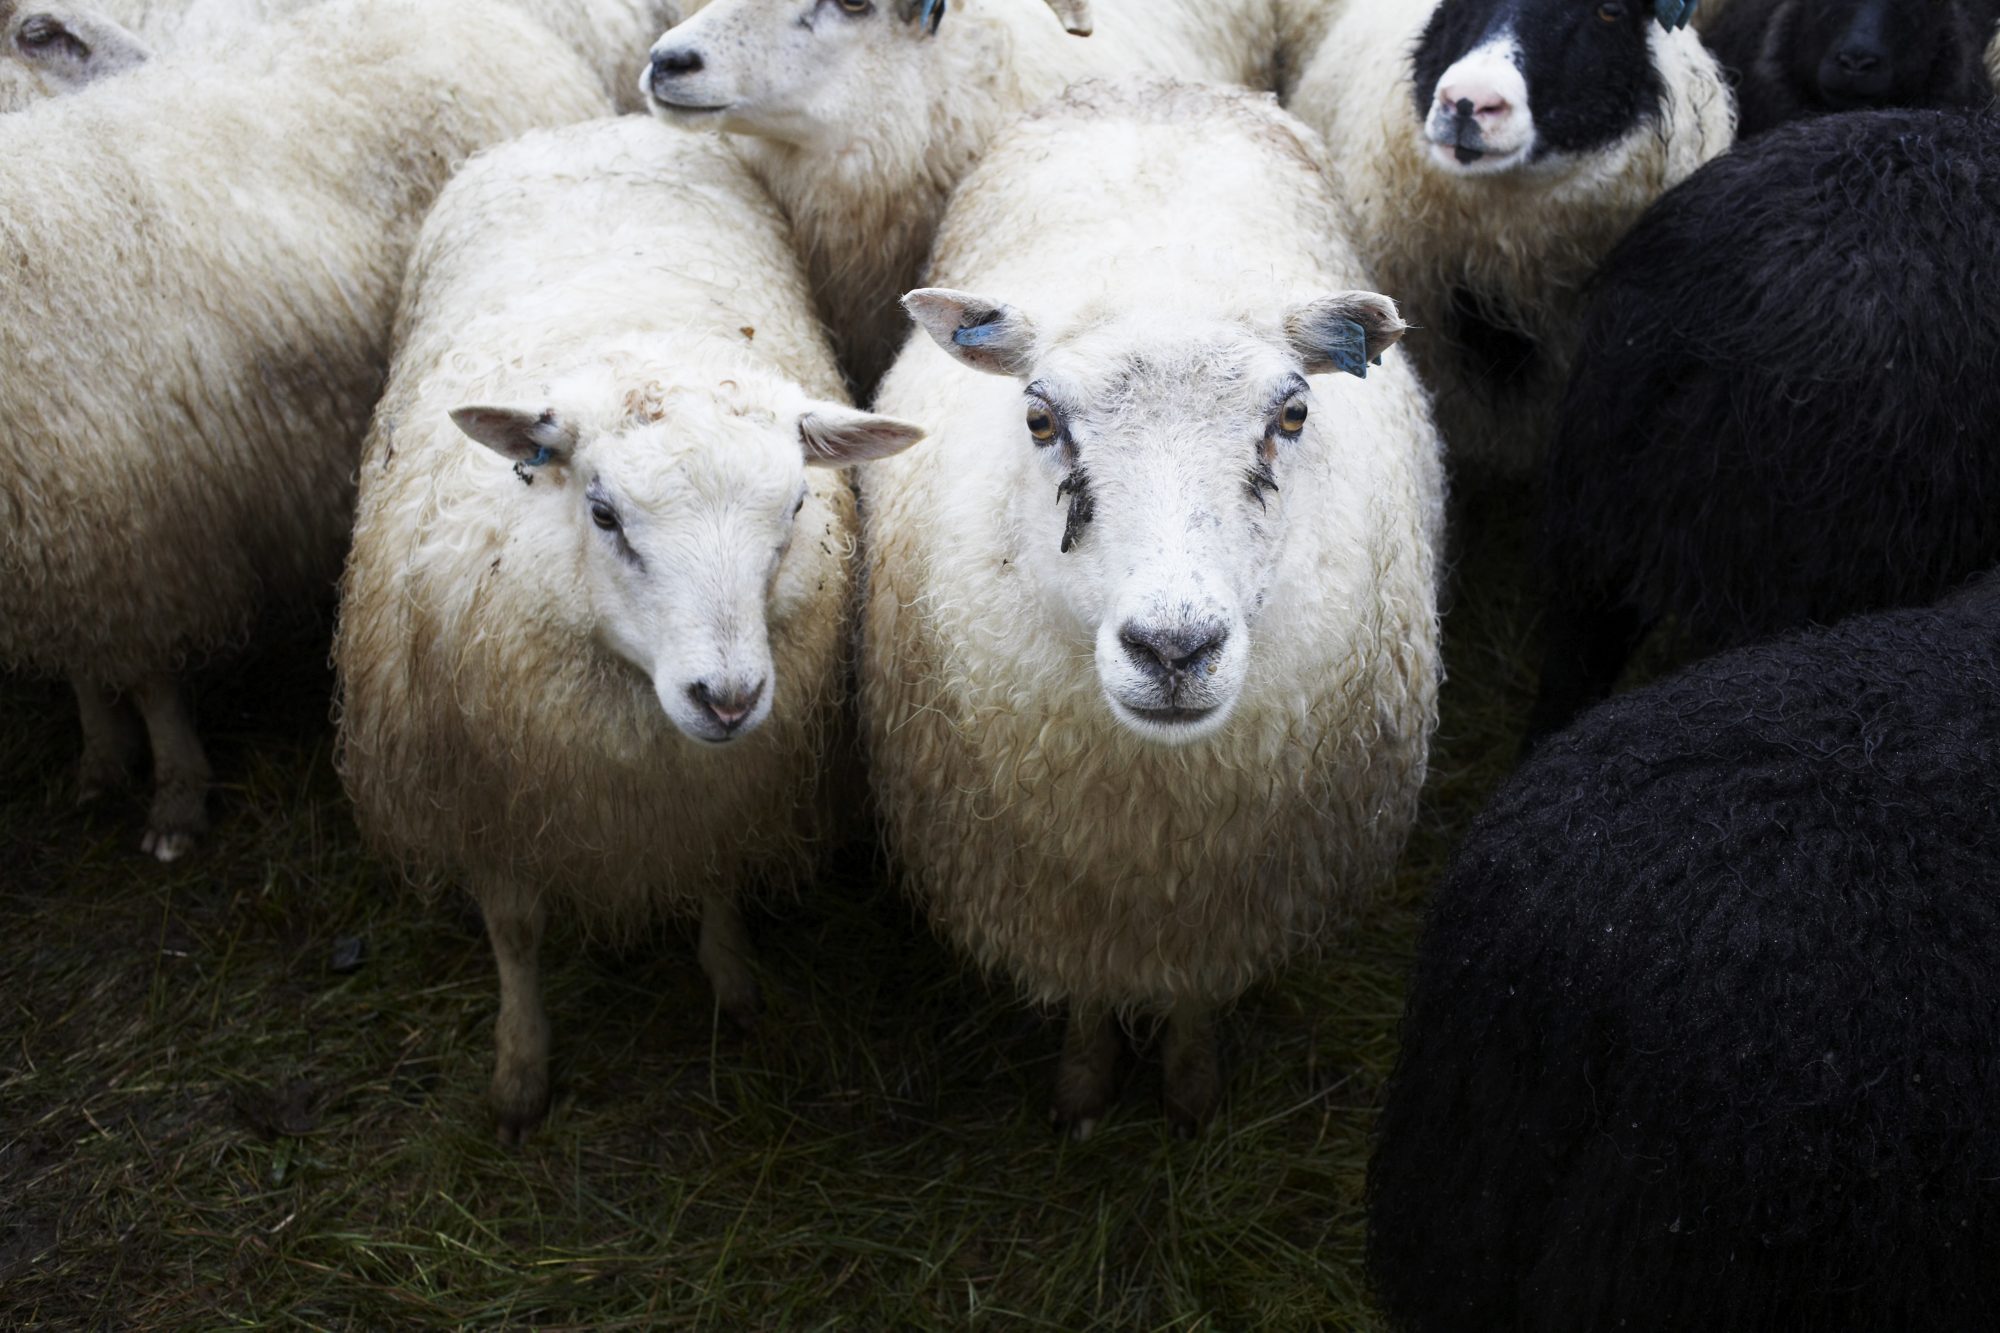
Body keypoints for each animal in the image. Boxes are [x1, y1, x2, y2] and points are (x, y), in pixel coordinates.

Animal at [0, 0, 628, 861]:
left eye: (36, 32)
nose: (144, 64)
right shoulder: (58, 532)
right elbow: (81, 664)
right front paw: (100, 758)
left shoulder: (134, 525)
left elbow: (149, 678)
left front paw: (175, 798)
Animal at [335, 115, 922, 1142]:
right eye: (604, 513)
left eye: (797, 504)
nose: (726, 698)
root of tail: (580, 126)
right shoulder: (484, 791)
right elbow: (517, 931)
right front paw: (520, 1071)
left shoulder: (726, 792)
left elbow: (718, 878)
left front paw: (735, 984)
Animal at [860, 77, 1444, 1137]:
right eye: (1038, 417)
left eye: (1293, 413)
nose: (1174, 649)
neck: (1154, 815)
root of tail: (1157, 88)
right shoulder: (1075, 906)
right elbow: (1091, 1000)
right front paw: (1085, 1091)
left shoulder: (1213, 911)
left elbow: (1196, 1000)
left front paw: (1191, 1091)